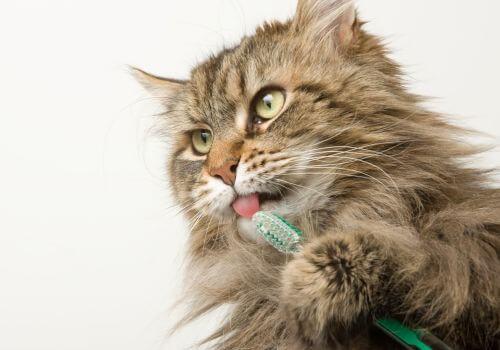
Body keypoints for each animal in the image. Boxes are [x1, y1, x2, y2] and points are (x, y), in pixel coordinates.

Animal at [135, 0, 498, 350]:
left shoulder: (471, 256)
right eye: (202, 140)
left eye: (268, 104)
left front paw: (313, 284)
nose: (221, 170)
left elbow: (413, 254)